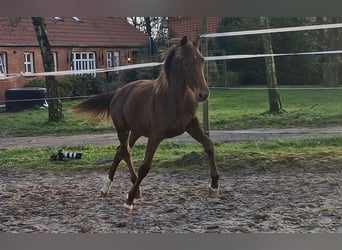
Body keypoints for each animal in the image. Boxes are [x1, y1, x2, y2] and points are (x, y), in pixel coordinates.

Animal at [72, 35, 219, 211]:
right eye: (186, 62)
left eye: (202, 60)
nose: (203, 94)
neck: (174, 100)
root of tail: (117, 92)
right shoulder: (156, 135)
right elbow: (145, 167)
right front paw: (129, 201)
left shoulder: (191, 125)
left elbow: (209, 145)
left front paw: (214, 187)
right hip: (123, 130)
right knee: (126, 152)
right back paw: (128, 190)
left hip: (136, 131)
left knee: (120, 151)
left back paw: (110, 188)